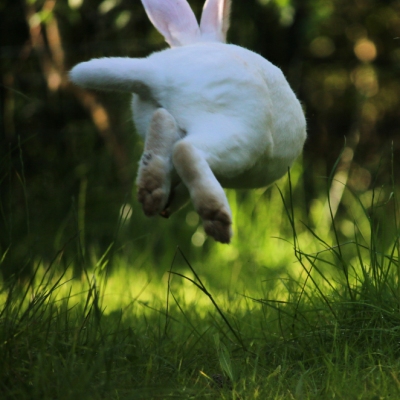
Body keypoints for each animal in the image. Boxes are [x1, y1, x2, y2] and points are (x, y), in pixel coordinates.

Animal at [69, 0, 306, 244]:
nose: (166, 212)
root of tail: (159, 75)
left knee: (163, 130)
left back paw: (152, 192)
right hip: (242, 137)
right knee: (185, 151)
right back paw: (216, 219)